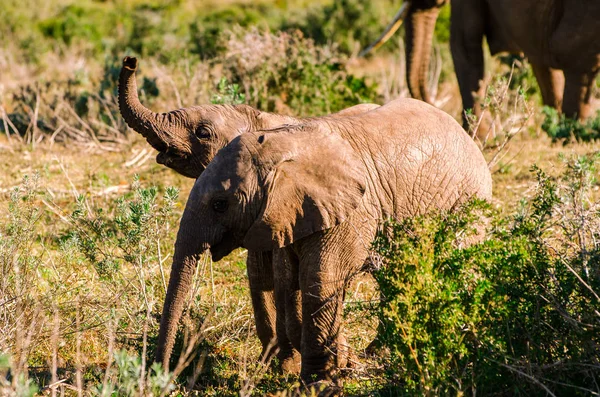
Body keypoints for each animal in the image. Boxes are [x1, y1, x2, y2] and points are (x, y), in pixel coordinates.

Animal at [118, 57, 376, 372]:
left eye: (202, 132)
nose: (130, 62)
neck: (259, 119)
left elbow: (278, 275)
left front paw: (290, 366)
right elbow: (258, 273)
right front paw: (273, 363)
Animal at [158, 97, 492, 386]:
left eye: (219, 204)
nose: (163, 376)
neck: (281, 144)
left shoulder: (349, 211)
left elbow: (319, 280)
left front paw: (318, 383)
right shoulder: (289, 214)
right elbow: (287, 282)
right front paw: (340, 365)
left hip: (469, 197)